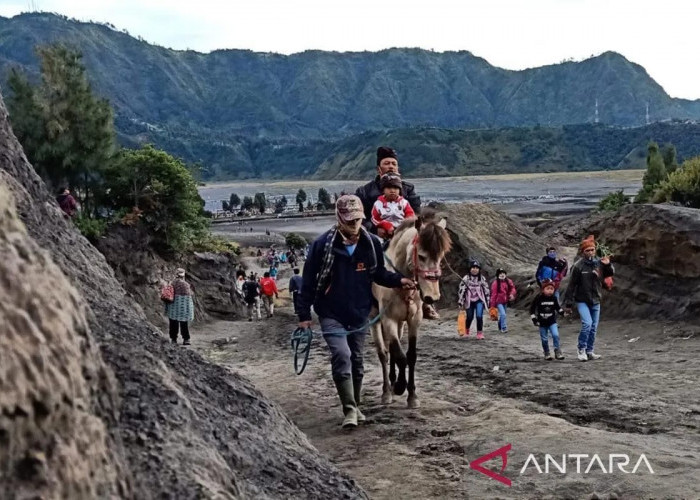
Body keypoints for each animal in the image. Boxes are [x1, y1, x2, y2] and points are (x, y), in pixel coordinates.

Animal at [372, 213, 454, 408]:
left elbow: (410, 356)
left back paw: (393, 381)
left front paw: (412, 395)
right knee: (383, 353)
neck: (400, 283)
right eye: (422, 256)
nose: (432, 297)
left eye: (440, 257)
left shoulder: (413, 319)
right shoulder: (388, 319)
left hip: (400, 323)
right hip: (375, 320)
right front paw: (401, 387)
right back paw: (387, 391)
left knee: (391, 349)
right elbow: (400, 356)